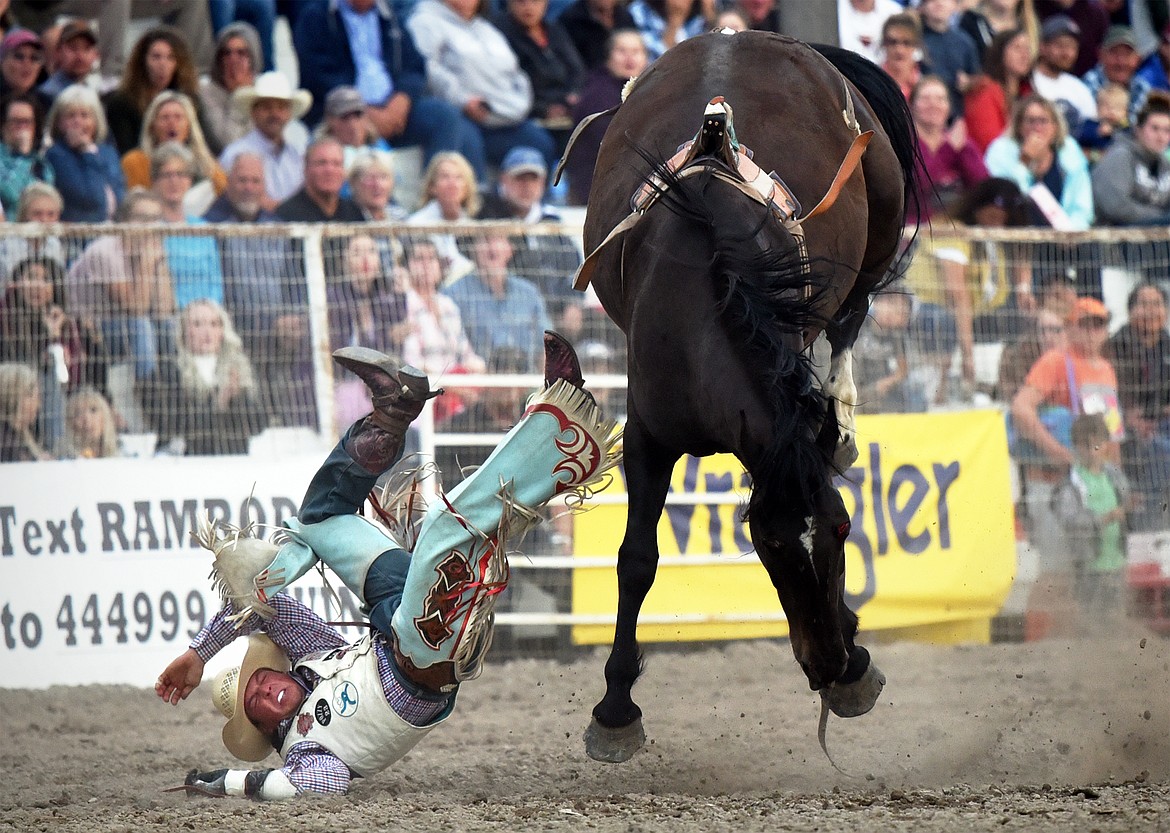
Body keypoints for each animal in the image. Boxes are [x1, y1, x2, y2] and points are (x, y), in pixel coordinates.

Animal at [570, 32, 917, 762]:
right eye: (771, 546)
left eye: (842, 530)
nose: (831, 667)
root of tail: (747, 34)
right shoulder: (647, 435)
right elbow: (636, 559)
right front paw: (615, 711)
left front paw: (856, 658)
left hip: (881, 216)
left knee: (854, 312)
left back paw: (844, 415)